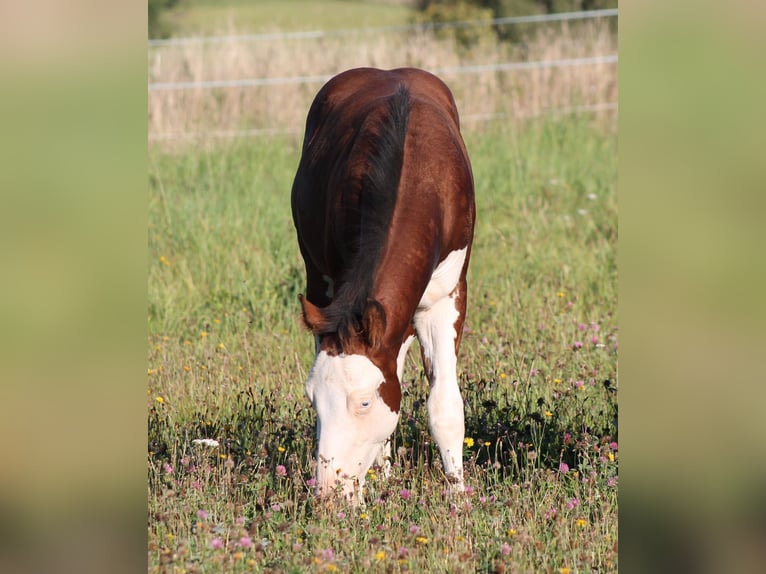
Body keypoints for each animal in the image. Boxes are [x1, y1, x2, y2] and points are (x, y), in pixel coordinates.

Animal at [291, 67, 475, 501]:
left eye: (363, 403)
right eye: (312, 400)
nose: (329, 494)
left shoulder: (447, 297)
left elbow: (444, 404)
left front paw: (458, 495)